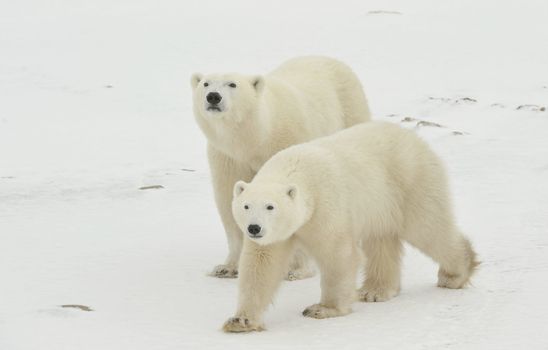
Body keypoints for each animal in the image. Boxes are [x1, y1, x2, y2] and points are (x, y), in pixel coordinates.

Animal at [191, 56, 370, 278]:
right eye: (205, 83)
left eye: (232, 84)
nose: (213, 97)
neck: (257, 136)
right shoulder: (229, 157)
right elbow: (228, 199)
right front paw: (227, 267)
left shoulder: (287, 141)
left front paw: (296, 269)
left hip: (350, 110)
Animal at [220, 121, 478, 332]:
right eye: (246, 206)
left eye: (270, 206)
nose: (254, 228)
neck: (296, 170)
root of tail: (416, 138)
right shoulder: (276, 235)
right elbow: (261, 265)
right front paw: (240, 320)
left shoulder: (325, 206)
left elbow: (338, 254)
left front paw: (323, 308)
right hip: (382, 205)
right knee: (382, 241)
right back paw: (374, 291)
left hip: (410, 181)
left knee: (428, 227)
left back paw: (455, 273)